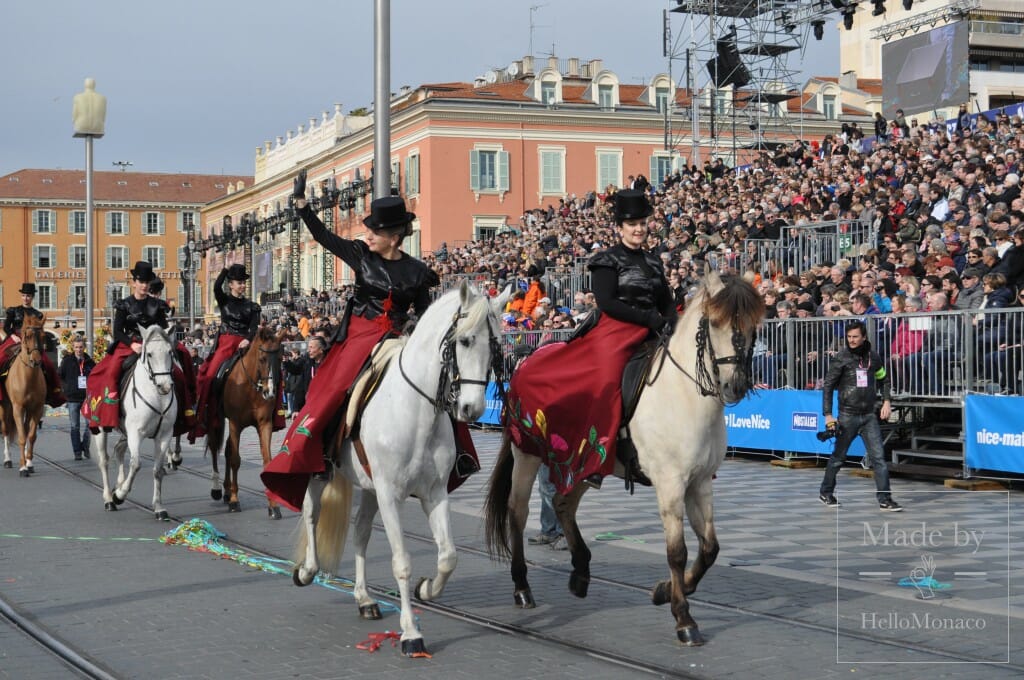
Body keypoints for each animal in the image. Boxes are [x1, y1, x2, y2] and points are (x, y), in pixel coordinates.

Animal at [0, 311, 47, 473]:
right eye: (27, 336)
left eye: (43, 335)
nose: (36, 361)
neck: (28, 378)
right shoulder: (18, 408)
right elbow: (21, 436)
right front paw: (22, 467)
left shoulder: (37, 408)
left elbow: (31, 436)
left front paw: (29, 463)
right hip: (5, 405)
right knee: (6, 429)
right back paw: (7, 459)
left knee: (25, 429)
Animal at [92, 327, 178, 518]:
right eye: (150, 354)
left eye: (170, 352)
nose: (165, 386)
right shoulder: (135, 433)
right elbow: (136, 464)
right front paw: (119, 495)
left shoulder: (164, 435)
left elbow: (158, 470)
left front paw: (158, 507)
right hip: (101, 428)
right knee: (104, 461)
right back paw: (109, 498)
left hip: (125, 432)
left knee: (118, 449)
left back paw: (118, 484)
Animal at [203, 327, 286, 518]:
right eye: (262, 358)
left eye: (280, 358)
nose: (270, 392)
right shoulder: (235, 423)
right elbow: (235, 459)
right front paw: (235, 501)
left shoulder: (265, 424)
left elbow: (267, 459)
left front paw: (273, 505)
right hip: (214, 420)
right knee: (214, 447)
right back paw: (217, 489)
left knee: (226, 448)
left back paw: (226, 491)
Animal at [292, 278, 507, 655]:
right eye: (465, 340)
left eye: (496, 348)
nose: (473, 409)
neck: (417, 409)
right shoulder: (391, 494)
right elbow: (402, 562)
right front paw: (410, 633)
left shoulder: (433, 494)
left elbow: (448, 556)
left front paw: (426, 588)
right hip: (324, 473)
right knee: (312, 513)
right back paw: (307, 570)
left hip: (370, 488)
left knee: (361, 532)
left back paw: (364, 599)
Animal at [483, 270, 765, 643]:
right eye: (715, 323)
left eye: (753, 325)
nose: (735, 386)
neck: (684, 395)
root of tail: (527, 358)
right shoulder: (671, 485)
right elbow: (677, 552)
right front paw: (683, 618)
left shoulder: (700, 483)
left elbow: (710, 549)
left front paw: (664, 592)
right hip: (528, 454)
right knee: (517, 512)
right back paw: (522, 587)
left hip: (586, 461)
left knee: (562, 503)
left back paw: (581, 572)